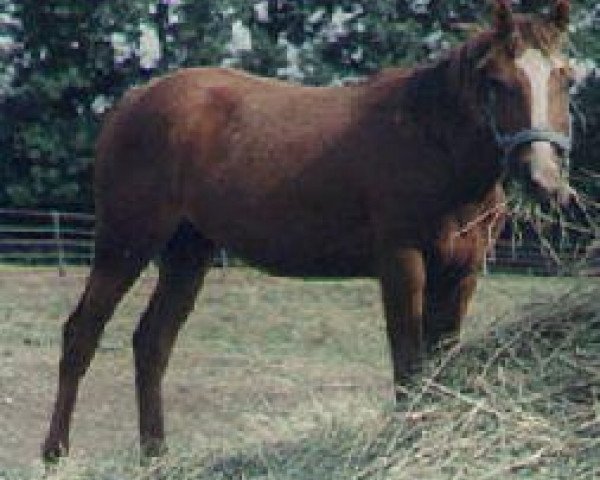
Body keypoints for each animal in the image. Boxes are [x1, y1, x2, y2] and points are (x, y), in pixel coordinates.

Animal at [42, 0, 576, 462]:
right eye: (497, 80)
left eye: (567, 78)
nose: (544, 178)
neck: (430, 141)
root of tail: (131, 102)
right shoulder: (402, 263)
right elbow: (408, 363)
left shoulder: (462, 272)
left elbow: (439, 361)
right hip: (125, 243)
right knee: (82, 334)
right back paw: (56, 453)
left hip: (187, 253)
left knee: (151, 343)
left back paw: (155, 455)